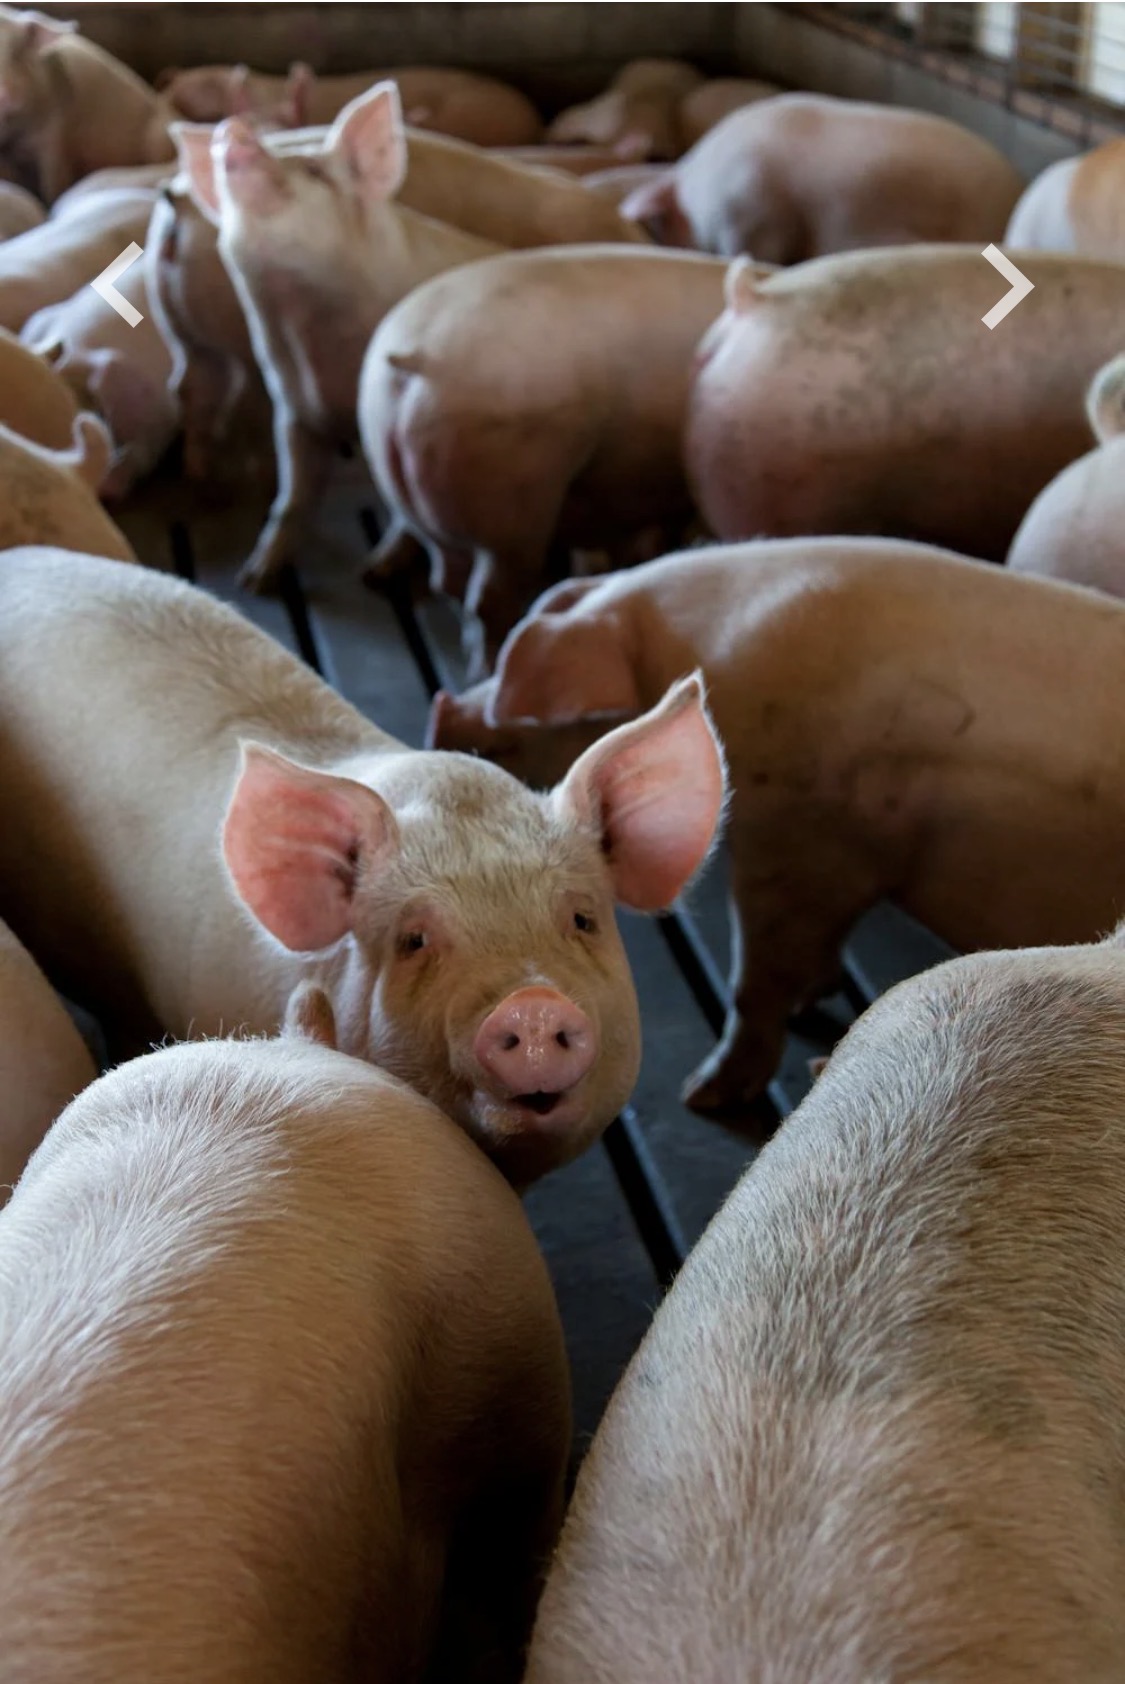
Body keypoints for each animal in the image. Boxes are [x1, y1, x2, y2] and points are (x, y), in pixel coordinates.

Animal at [0, 6, 174, 204]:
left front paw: (51, 202)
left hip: (158, 137)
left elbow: (54, 184)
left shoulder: (56, 133)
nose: (5, 92)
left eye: (17, 53)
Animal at [359, 245, 731, 674]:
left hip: (417, 496)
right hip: (513, 506)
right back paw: (489, 668)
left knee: (448, 582)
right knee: (488, 599)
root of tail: (418, 359)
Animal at [430, 536, 1125, 1120]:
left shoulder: (800, 844)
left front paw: (701, 1096)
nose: (444, 711)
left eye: (516, 707)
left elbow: (755, 980)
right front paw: (810, 999)